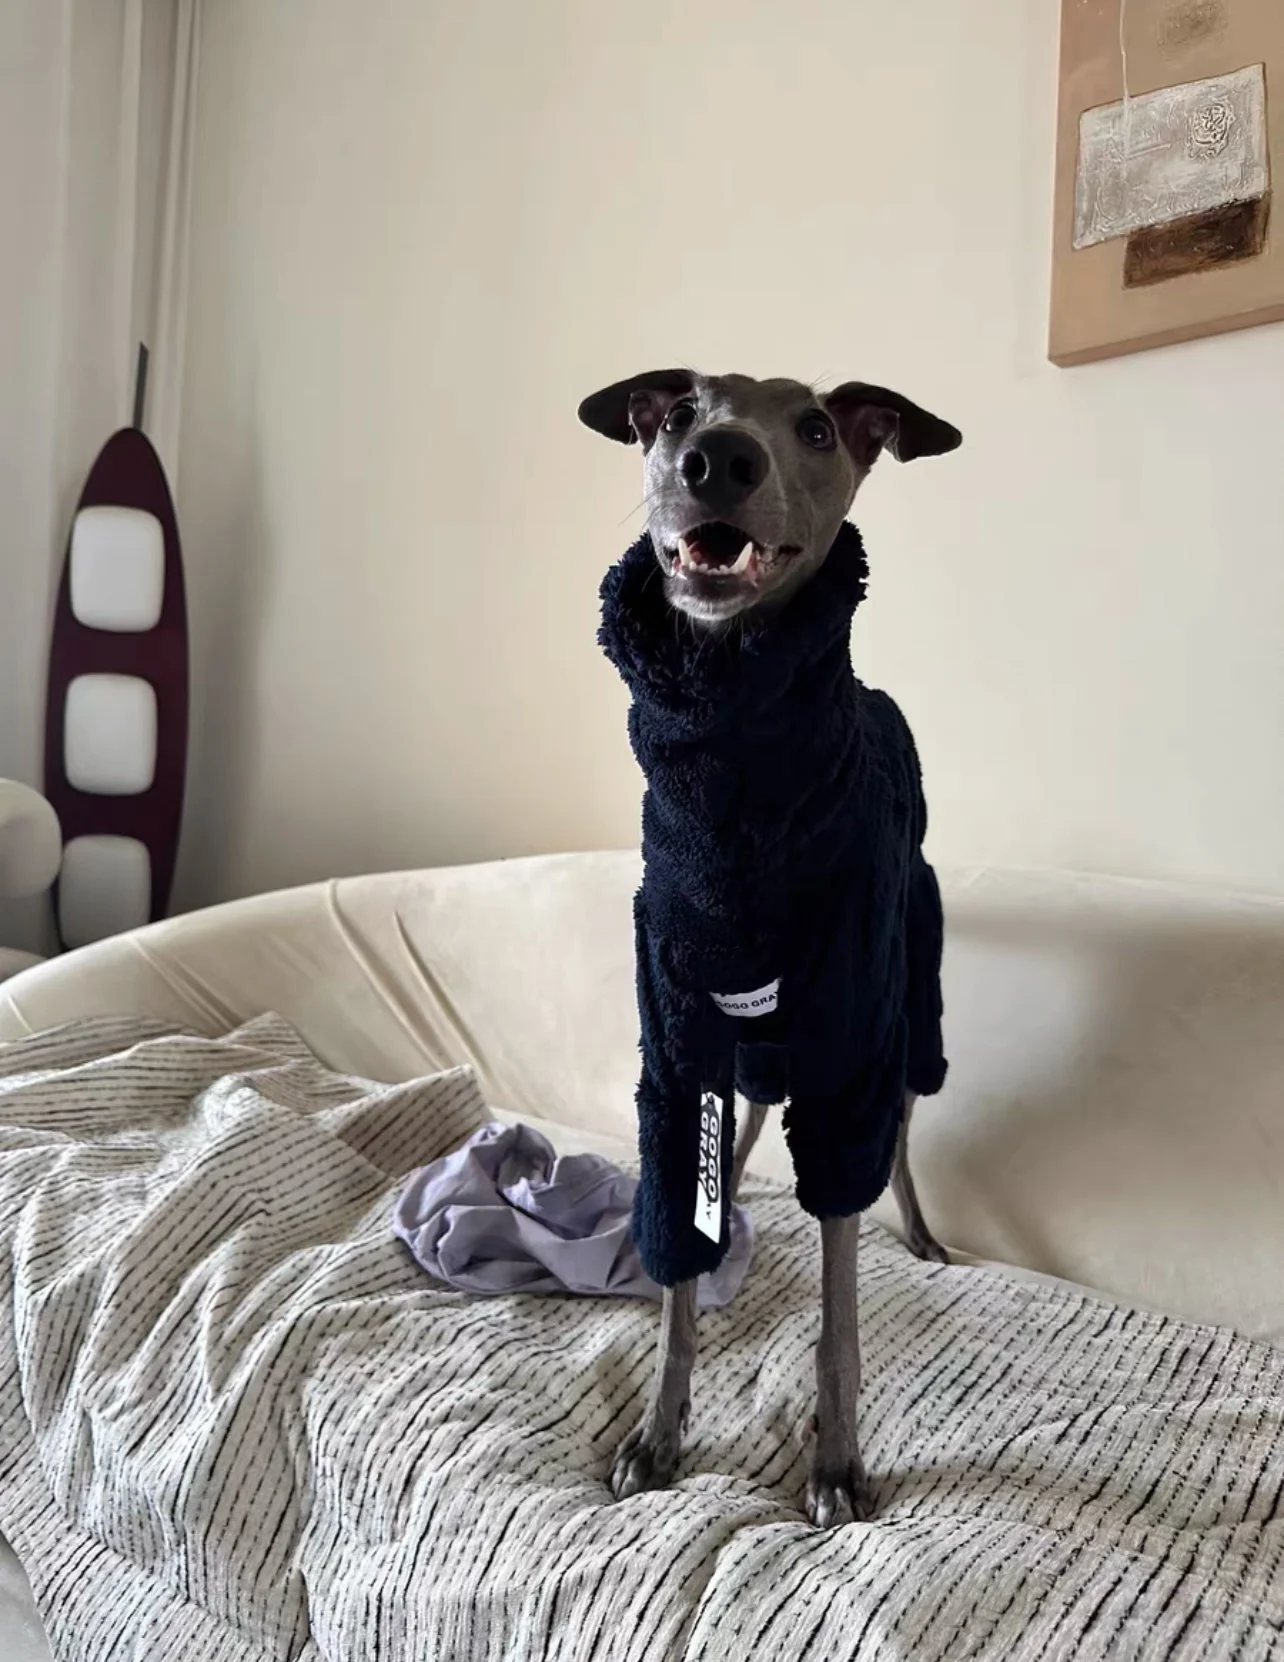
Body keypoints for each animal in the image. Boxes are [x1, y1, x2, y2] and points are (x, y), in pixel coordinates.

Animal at [582, 370, 961, 1527]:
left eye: (820, 426)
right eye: (671, 413)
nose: (718, 458)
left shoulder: (848, 1046)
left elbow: (839, 1297)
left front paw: (835, 1461)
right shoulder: (676, 1047)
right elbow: (679, 1242)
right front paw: (658, 1434)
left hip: (911, 1004)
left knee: (900, 1134)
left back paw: (921, 1235)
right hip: (755, 1040)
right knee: (749, 1123)